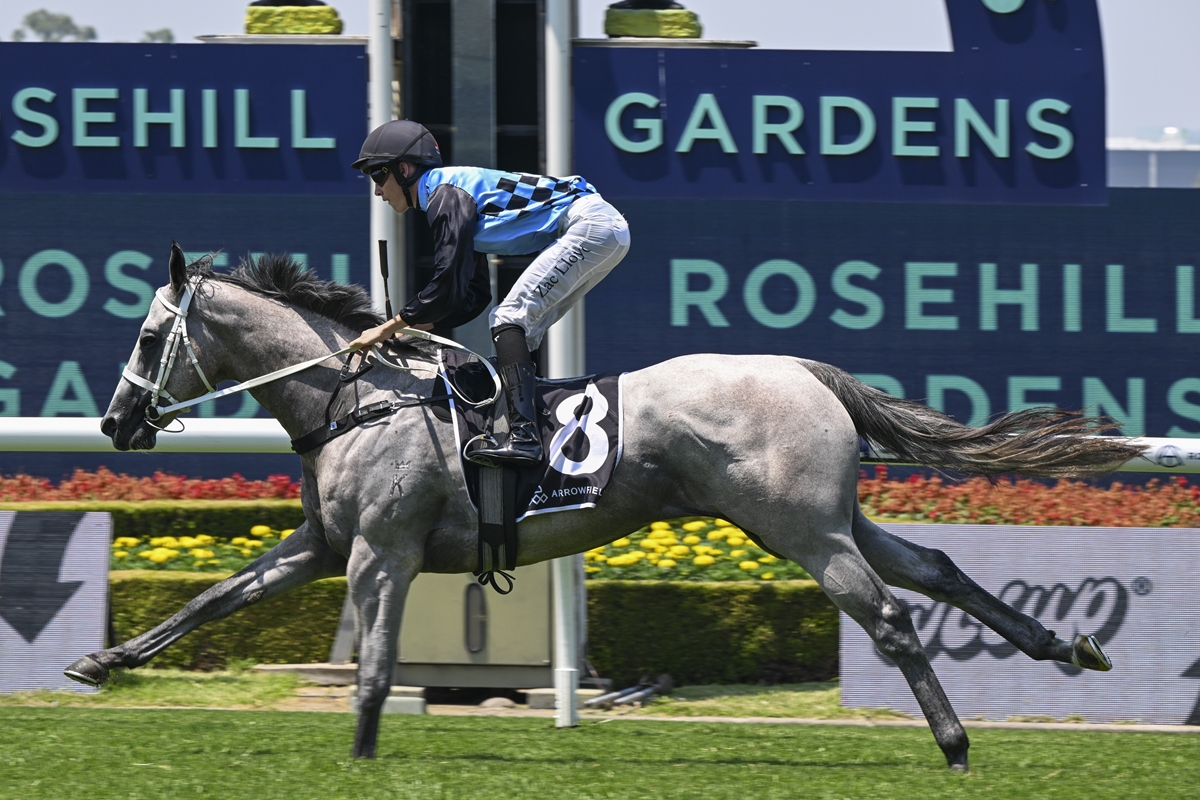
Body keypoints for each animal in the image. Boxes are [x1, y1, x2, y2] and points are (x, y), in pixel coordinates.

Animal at [65, 243, 1144, 769]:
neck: (360, 395)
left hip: (802, 530)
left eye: (151, 332)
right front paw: (102, 661)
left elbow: (373, 662)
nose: (116, 419)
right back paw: (1066, 646)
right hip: (822, 518)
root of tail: (804, 367)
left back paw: (957, 745)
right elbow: (216, 598)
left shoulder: (382, 548)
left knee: (889, 616)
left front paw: (364, 750)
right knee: (936, 569)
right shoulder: (324, 543)